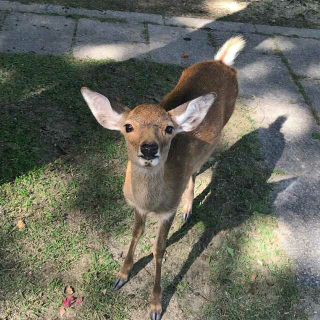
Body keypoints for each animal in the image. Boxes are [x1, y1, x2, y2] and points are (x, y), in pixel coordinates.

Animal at [80, 36, 245, 318]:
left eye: (169, 128)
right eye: (128, 126)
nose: (149, 148)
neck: (151, 202)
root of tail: (222, 62)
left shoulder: (168, 210)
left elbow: (159, 249)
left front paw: (156, 306)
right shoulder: (137, 207)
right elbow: (136, 233)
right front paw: (120, 276)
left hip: (216, 137)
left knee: (197, 168)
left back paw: (188, 209)